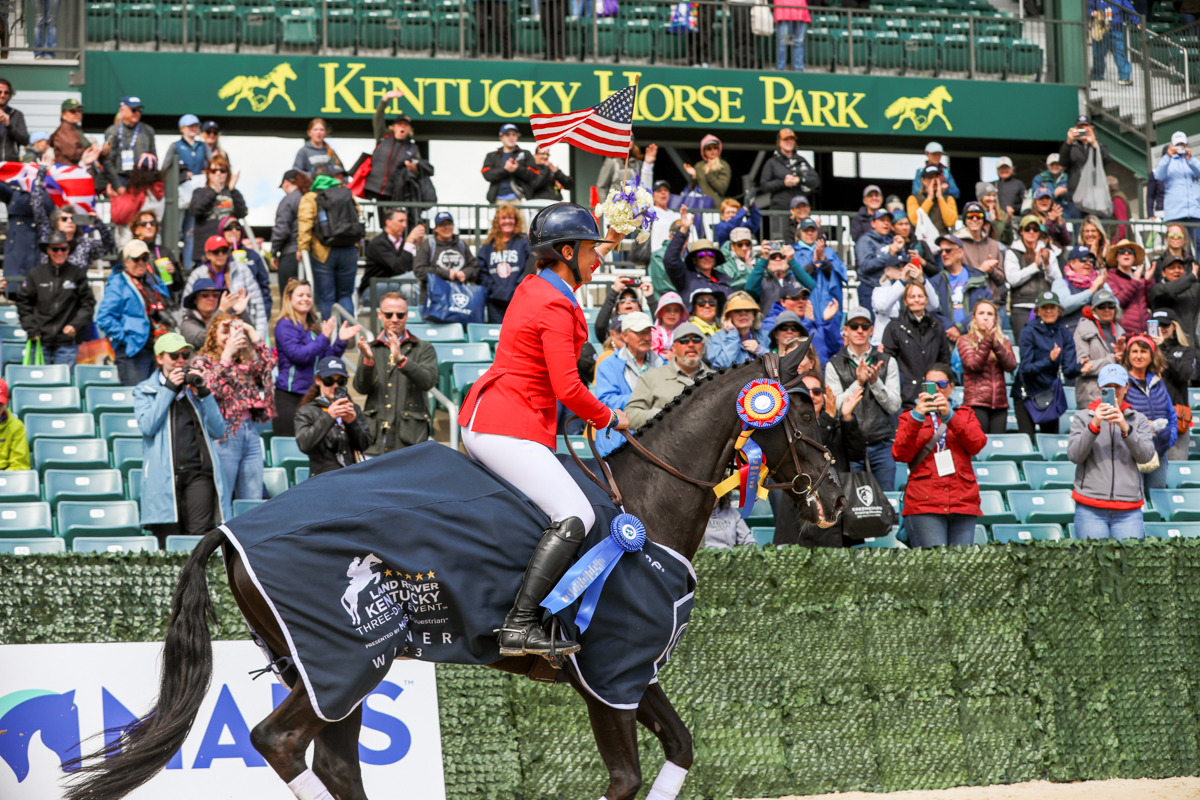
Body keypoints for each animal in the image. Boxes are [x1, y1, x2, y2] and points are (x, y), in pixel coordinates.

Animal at [58, 347, 844, 800]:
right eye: (808, 414)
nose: (838, 502)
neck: (642, 507)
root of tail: (226, 526)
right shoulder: (609, 675)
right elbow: (623, 781)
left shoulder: (630, 675)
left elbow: (681, 749)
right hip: (343, 659)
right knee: (279, 744)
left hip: (337, 670)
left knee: (335, 762)